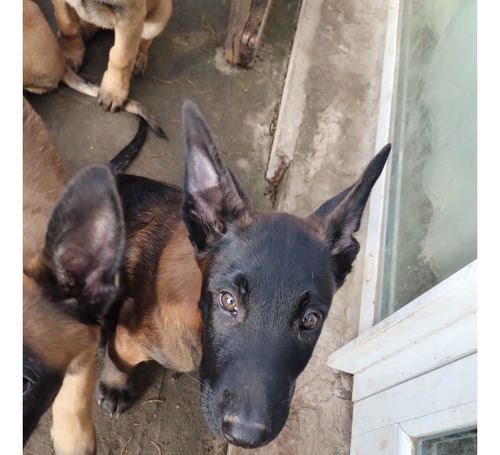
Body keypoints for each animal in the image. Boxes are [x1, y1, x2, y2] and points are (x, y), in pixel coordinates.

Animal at [94, 100, 390, 448]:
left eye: (310, 320)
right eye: (228, 300)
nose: (245, 436)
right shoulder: (133, 335)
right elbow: (118, 357)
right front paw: (114, 384)